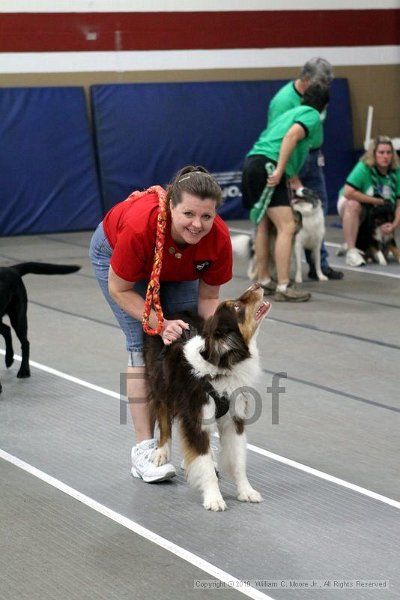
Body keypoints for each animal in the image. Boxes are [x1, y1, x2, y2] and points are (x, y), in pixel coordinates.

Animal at [0, 260, 81, 392]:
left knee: (25, 342)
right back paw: (9, 359)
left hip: (19, 318)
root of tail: (11, 269)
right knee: (7, 330)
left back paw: (24, 371)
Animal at [142, 284, 270, 510]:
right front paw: (214, 499)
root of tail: (170, 315)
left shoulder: (234, 419)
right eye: (236, 307)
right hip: (160, 384)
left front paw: (246, 491)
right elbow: (206, 467)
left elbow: (239, 461)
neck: (224, 365)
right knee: (164, 422)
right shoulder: (196, 420)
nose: (256, 285)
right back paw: (161, 452)